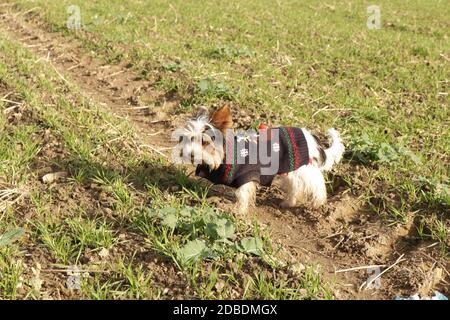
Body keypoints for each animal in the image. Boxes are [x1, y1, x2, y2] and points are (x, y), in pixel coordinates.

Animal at [172, 105, 344, 215]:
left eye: (204, 142)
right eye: (187, 139)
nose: (190, 154)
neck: (223, 157)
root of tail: (309, 138)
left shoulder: (247, 175)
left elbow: (242, 194)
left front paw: (238, 211)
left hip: (303, 168)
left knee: (316, 181)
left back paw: (317, 203)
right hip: (290, 169)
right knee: (295, 186)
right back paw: (289, 202)